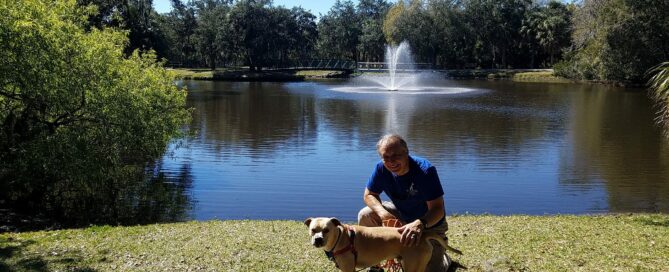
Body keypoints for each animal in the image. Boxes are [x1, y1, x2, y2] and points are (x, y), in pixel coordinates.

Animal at [306, 217, 462, 272]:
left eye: (326, 230)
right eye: (313, 230)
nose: (318, 239)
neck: (341, 237)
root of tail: (422, 235)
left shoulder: (347, 269)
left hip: (413, 266)